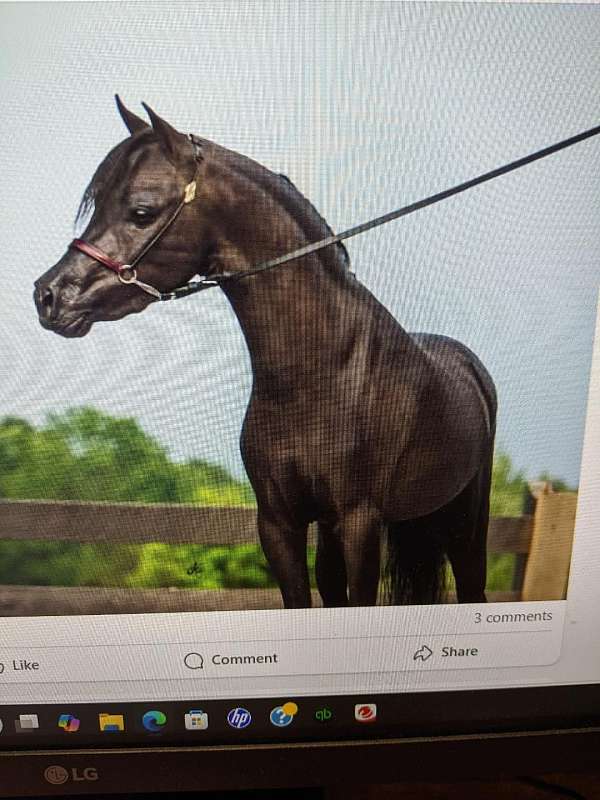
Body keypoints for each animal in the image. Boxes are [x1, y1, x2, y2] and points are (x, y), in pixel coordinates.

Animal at [34, 97, 497, 609]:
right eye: (98, 205)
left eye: (140, 210)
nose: (48, 296)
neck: (322, 374)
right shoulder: (278, 522)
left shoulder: (360, 521)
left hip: (465, 527)